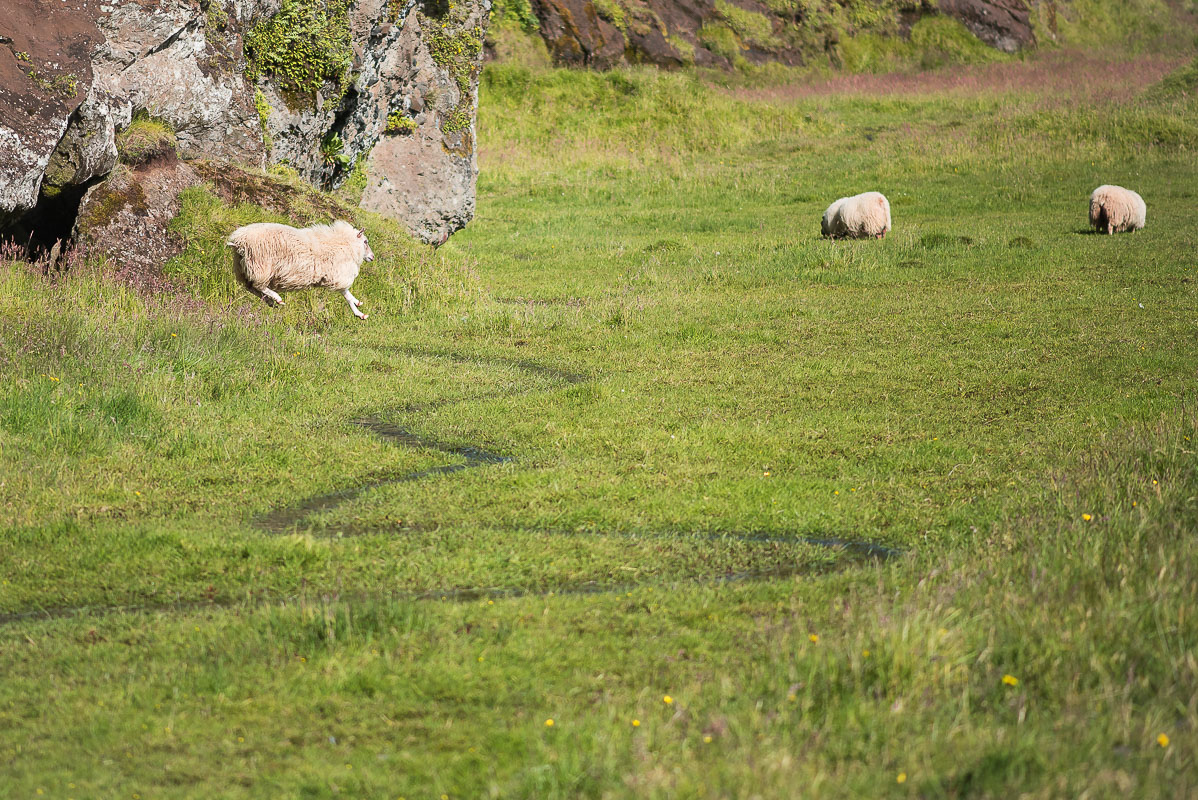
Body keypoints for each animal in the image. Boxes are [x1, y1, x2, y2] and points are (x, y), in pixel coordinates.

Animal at [226, 220, 375, 319]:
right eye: (365, 242)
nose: (372, 257)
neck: (346, 243)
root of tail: (239, 241)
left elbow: (347, 294)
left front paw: (358, 306)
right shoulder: (337, 275)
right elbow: (346, 294)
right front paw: (359, 310)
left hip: (244, 268)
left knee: (251, 288)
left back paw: (270, 301)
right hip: (260, 267)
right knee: (259, 286)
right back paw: (277, 298)